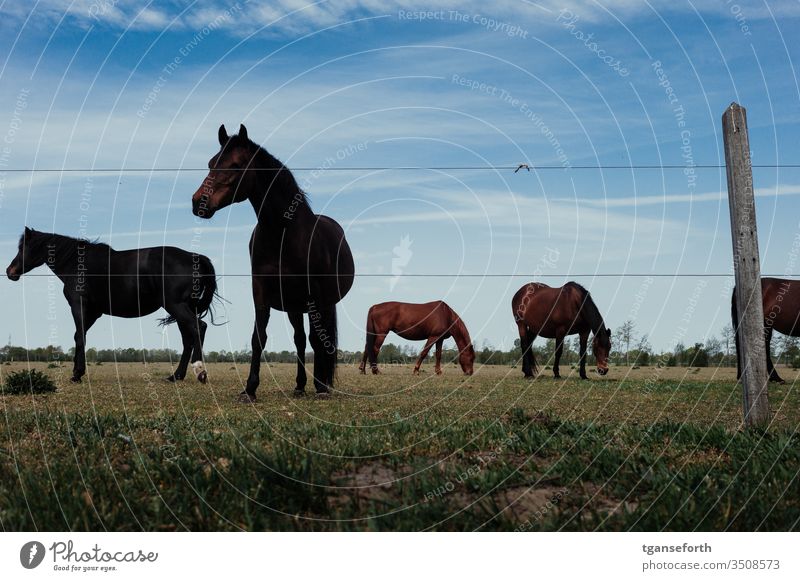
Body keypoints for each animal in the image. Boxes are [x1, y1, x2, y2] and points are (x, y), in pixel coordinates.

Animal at [6, 228, 217, 386]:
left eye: (23, 247)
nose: (10, 271)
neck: (76, 264)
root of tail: (195, 257)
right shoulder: (94, 312)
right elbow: (78, 336)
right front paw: (77, 372)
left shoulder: (79, 306)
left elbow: (80, 337)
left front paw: (77, 374)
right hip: (180, 308)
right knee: (188, 338)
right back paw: (176, 376)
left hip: (176, 306)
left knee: (199, 328)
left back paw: (200, 371)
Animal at [191, 124, 354, 402]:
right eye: (211, 163)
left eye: (236, 165)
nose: (198, 202)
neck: (283, 232)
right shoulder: (261, 290)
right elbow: (259, 338)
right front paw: (249, 389)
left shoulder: (314, 295)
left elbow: (317, 340)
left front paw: (321, 387)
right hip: (294, 307)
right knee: (300, 339)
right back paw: (300, 385)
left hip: (319, 303)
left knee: (318, 339)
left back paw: (321, 384)